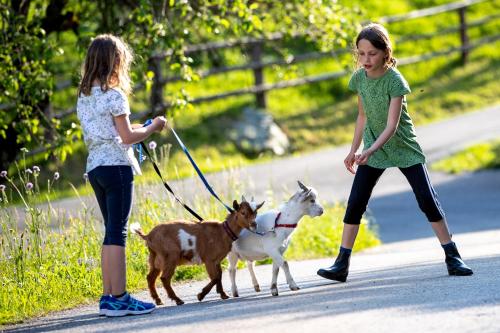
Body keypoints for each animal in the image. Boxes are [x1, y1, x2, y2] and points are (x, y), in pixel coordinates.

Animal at [131, 198, 264, 304]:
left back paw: (158, 300)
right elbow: (215, 277)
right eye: (243, 212)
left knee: (150, 277)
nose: (254, 224)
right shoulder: (209, 259)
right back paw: (178, 300)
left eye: (255, 212)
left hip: (155, 257)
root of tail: (148, 236)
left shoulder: (216, 261)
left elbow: (219, 275)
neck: (222, 232)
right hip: (170, 255)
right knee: (164, 278)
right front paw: (201, 295)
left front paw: (223, 295)